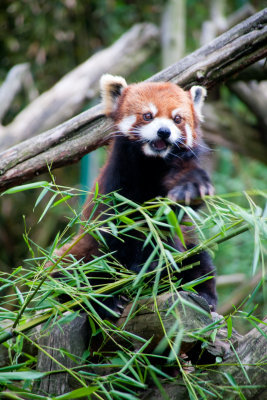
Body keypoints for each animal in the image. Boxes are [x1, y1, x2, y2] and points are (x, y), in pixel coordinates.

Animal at [51, 76, 218, 316]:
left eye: (177, 119)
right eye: (148, 115)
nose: (164, 132)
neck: (150, 164)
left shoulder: (179, 163)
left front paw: (192, 189)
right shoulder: (119, 180)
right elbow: (120, 230)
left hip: (188, 245)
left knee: (197, 258)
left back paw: (202, 294)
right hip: (83, 250)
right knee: (73, 270)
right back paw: (104, 300)